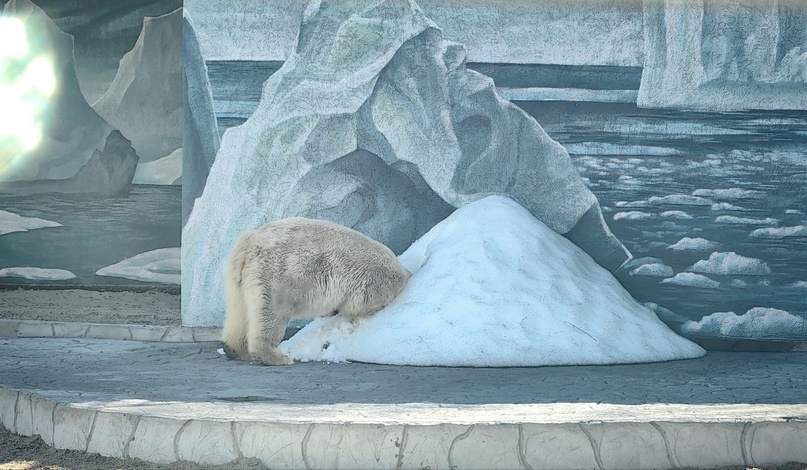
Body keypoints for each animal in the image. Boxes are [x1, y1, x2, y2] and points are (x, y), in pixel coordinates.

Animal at [221, 218, 410, 366]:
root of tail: (250, 244)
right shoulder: (371, 281)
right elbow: (360, 304)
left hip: (235, 276)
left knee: (239, 309)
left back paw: (236, 349)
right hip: (277, 275)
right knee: (272, 312)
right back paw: (277, 357)